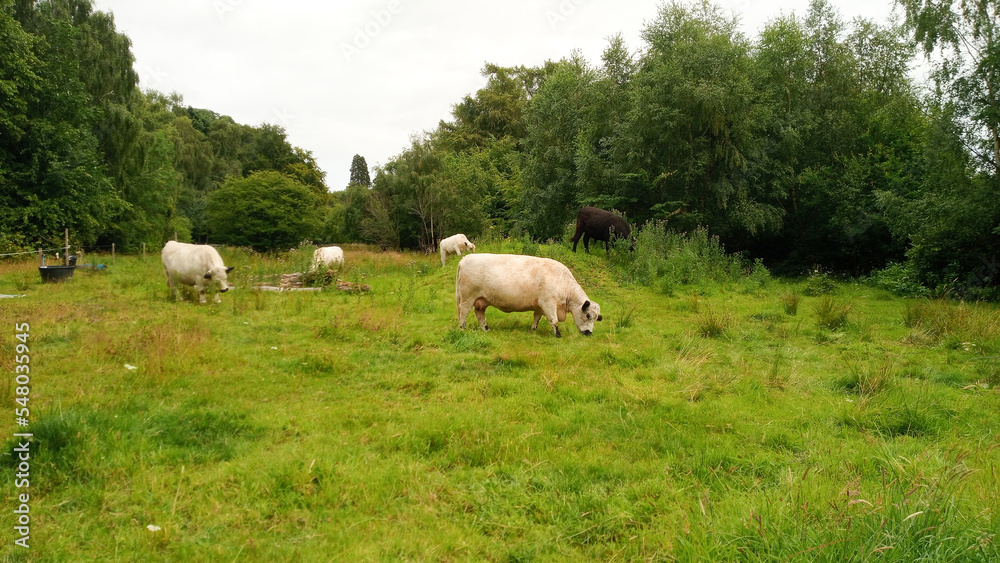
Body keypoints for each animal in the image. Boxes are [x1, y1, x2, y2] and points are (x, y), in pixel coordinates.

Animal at [456, 253, 602, 337]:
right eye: (588, 315)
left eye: (596, 318)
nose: (589, 333)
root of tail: (464, 258)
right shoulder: (548, 303)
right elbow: (554, 321)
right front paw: (558, 335)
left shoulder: (539, 306)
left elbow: (537, 318)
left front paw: (533, 330)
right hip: (467, 297)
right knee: (464, 312)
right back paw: (463, 328)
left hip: (481, 300)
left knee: (480, 314)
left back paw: (486, 329)